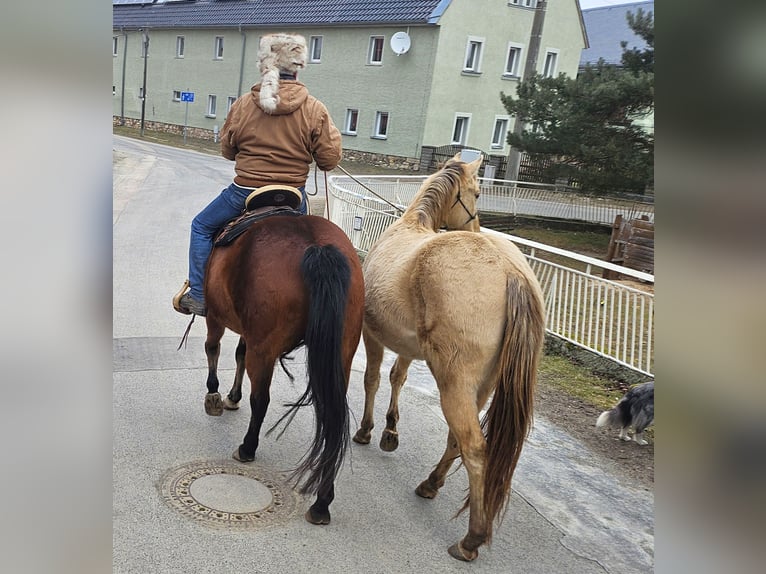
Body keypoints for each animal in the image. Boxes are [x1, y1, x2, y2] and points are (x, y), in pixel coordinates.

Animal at [198, 204, 365, 526]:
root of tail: (316, 246)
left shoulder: (216, 316)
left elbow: (214, 347)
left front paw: (214, 394)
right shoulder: (247, 331)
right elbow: (238, 353)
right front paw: (232, 396)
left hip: (264, 345)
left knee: (261, 399)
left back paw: (247, 447)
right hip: (342, 352)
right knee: (333, 415)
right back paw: (322, 501)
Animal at [353, 153, 546, 561]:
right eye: (476, 192)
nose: (476, 226)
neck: (412, 224)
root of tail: (511, 273)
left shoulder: (371, 334)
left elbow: (372, 379)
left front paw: (366, 430)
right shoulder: (407, 347)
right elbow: (395, 378)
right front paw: (390, 431)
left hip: (454, 383)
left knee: (474, 448)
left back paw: (471, 539)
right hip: (480, 386)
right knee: (458, 440)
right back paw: (431, 483)